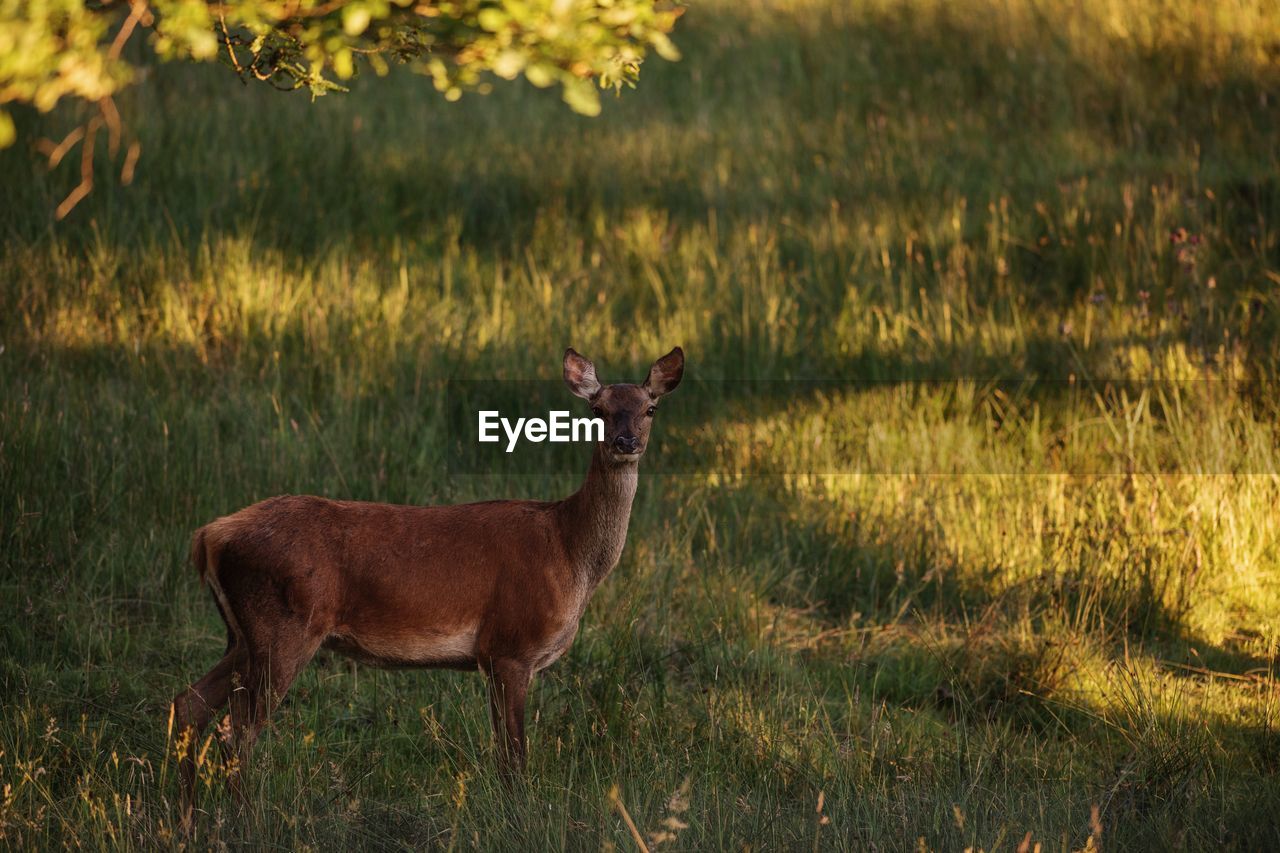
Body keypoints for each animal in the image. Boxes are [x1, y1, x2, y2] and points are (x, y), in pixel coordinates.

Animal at [175, 343, 686, 824]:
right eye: (597, 410)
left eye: (650, 408)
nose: (625, 441)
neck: (569, 551)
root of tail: (208, 536)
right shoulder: (509, 647)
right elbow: (513, 759)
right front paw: (520, 817)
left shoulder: (496, 657)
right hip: (283, 627)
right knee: (234, 734)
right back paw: (242, 819)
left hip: (243, 635)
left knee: (188, 705)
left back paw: (188, 820)